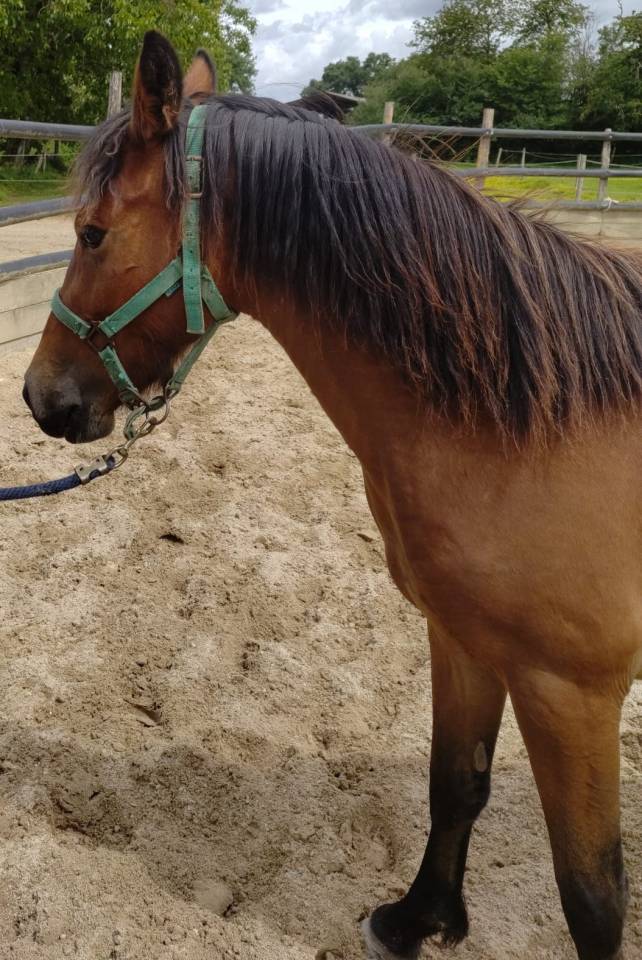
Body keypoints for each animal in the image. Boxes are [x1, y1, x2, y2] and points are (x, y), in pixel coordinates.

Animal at [22, 31, 641, 960]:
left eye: (93, 232)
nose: (38, 396)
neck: (528, 423)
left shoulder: (571, 694)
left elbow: (593, 899)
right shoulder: (464, 637)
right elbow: (455, 784)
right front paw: (419, 920)